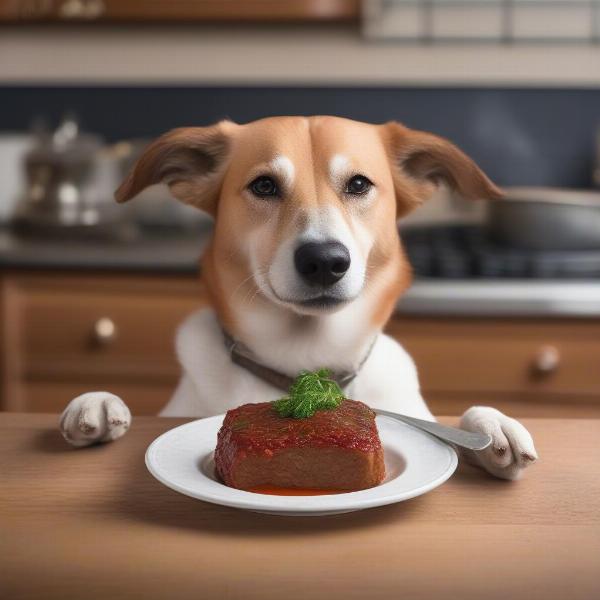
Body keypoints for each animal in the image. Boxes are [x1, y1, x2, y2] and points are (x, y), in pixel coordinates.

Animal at [59, 117, 540, 480]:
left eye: (359, 184)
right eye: (264, 186)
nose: (324, 260)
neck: (303, 355)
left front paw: (491, 426)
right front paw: (97, 405)